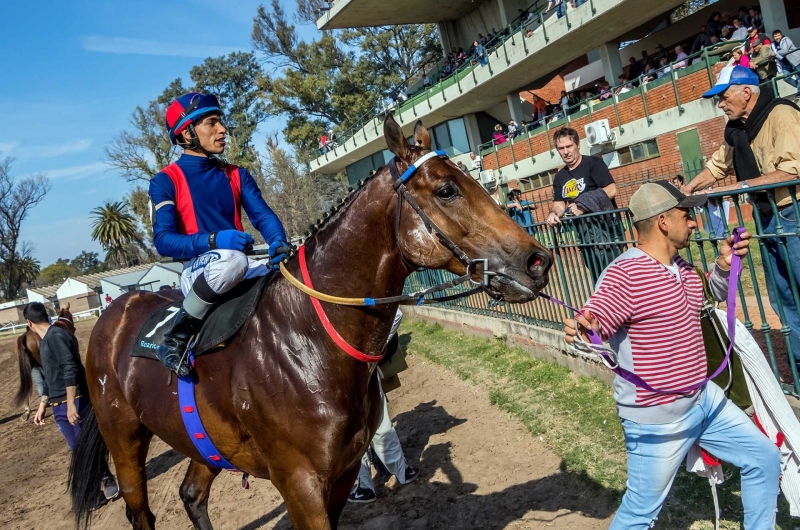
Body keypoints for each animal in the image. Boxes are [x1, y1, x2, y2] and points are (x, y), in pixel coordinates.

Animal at [72, 116, 552, 528]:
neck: (308, 340)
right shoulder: (299, 484)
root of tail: (114, 311)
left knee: (192, 495)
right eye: (448, 189)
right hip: (124, 441)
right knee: (141, 512)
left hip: (202, 444)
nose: (537, 260)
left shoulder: (341, 475)